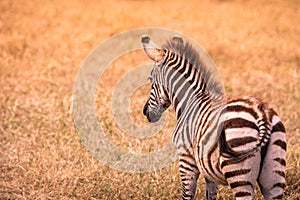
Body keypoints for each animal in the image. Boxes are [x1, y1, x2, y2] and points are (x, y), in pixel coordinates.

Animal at [141, 35, 286, 199]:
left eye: (150, 80)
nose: (145, 112)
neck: (190, 100)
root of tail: (261, 113)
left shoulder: (186, 160)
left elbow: (187, 194)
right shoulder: (207, 169)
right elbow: (210, 194)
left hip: (239, 171)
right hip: (274, 174)